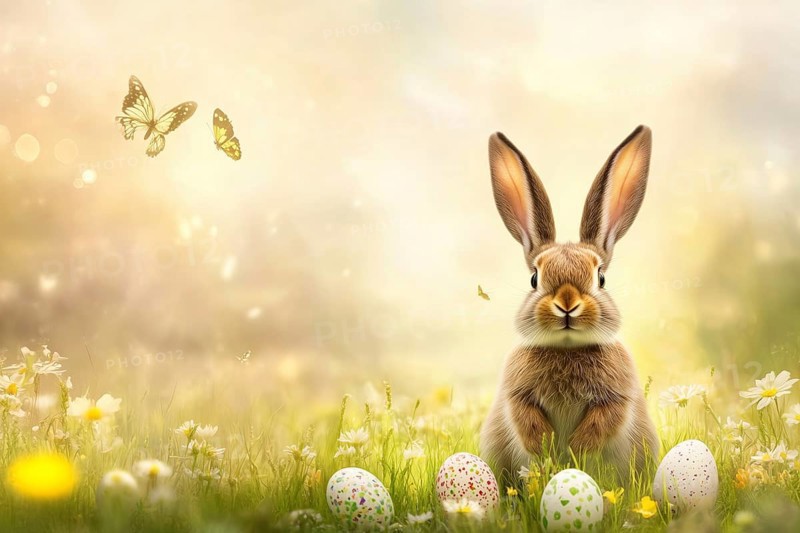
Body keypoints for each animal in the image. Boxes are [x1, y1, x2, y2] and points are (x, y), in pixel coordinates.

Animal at [479, 125, 659, 482]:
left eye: (600, 278)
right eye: (534, 279)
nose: (566, 303)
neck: (566, 348)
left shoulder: (616, 398)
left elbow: (602, 421)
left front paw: (575, 453)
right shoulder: (516, 395)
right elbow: (528, 421)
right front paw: (550, 455)